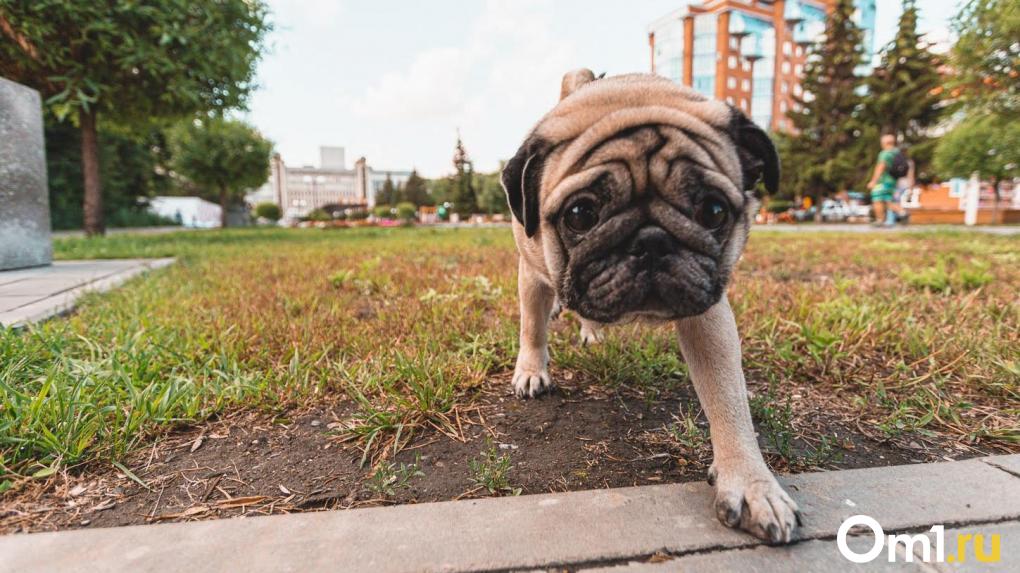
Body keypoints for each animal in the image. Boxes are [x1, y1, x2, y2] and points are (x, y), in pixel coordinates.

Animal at [505, 69, 799, 542]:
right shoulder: (531, 273)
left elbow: (728, 397)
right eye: (580, 215)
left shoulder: (708, 313)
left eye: (714, 211)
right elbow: (532, 326)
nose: (651, 240)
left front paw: (751, 481)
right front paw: (532, 370)